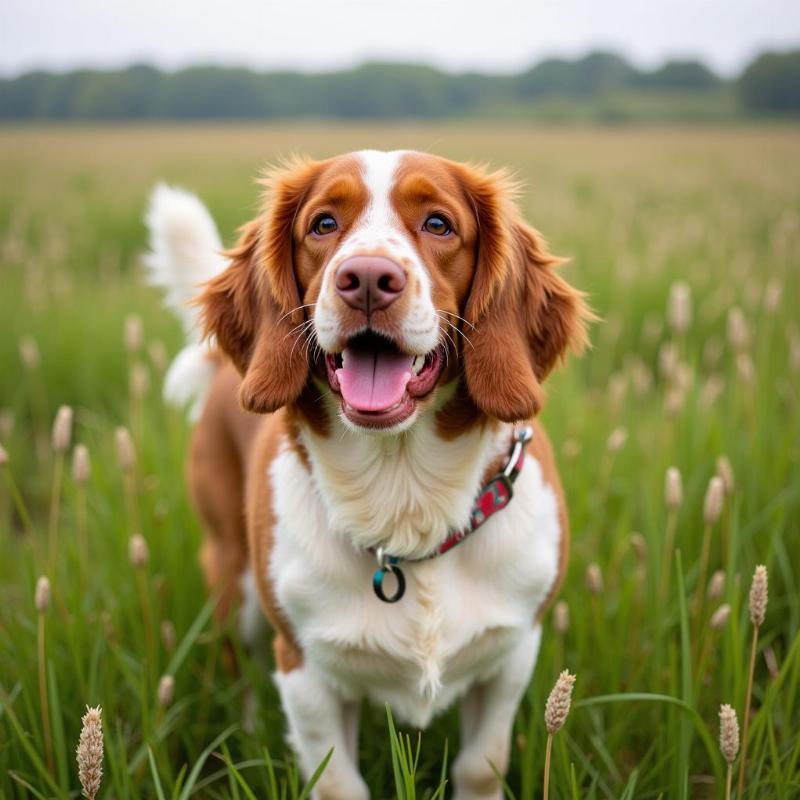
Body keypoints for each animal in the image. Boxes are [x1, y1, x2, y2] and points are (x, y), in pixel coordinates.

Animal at [147, 152, 592, 800]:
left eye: (438, 224)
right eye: (324, 224)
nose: (366, 278)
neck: (405, 496)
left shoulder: (512, 652)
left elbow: (479, 764)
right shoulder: (305, 670)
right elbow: (339, 782)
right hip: (236, 582)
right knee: (240, 665)